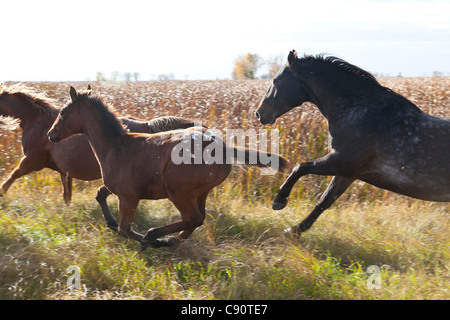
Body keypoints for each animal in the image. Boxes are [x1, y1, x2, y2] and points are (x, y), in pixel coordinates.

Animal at [46, 86, 292, 249]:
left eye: (63, 113)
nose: (50, 134)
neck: (115, 146)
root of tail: (222, 147)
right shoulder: (117, 188)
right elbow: (100, 195)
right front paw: (111, 222)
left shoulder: (128, 197)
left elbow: (124, 230)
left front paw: (147, 240)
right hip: (200, 193)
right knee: (197, 219)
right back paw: (171, 240)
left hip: (179, 191)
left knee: (192, 218)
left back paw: (156, 236)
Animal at [256, 50, 450, 235]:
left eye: (276, 80)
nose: (259, 113)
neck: (358, 110)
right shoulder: (349, 173)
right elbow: (324, 200)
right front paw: (294, 231)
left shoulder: (342, 163)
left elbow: (300, 168)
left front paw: (279, 201)